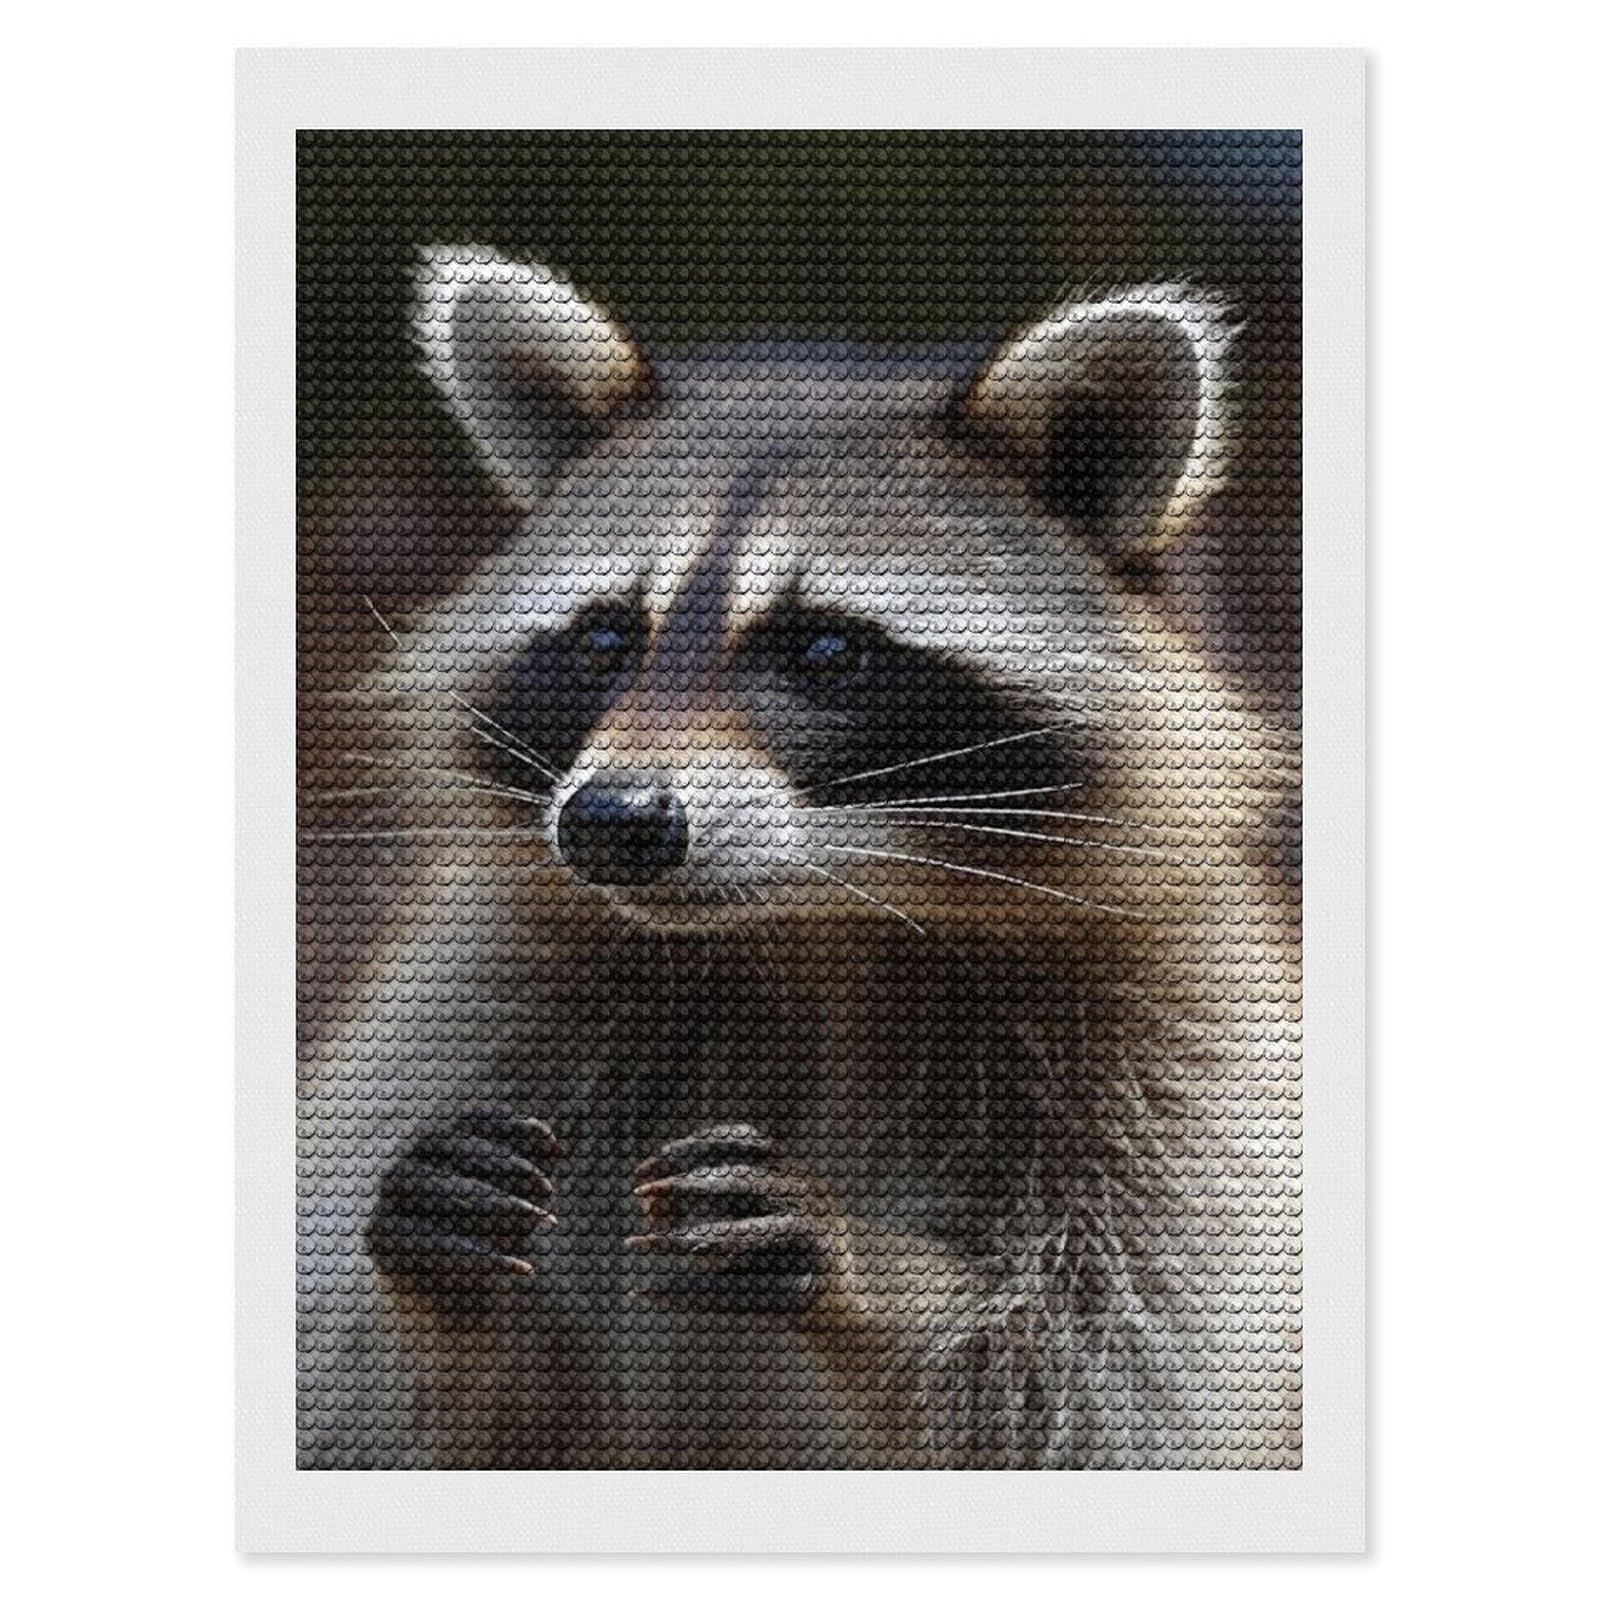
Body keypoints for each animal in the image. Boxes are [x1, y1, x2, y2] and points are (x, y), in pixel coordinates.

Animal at [297, 246, 1301, 1470]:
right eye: (605, 637)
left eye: (824, 649)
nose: (612, 819)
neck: (815, 930)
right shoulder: (485, 1008)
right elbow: (369, 1403)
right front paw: (445, 1312)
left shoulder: (1179, 1066)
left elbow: (1096, 1386)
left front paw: (875, 1281)